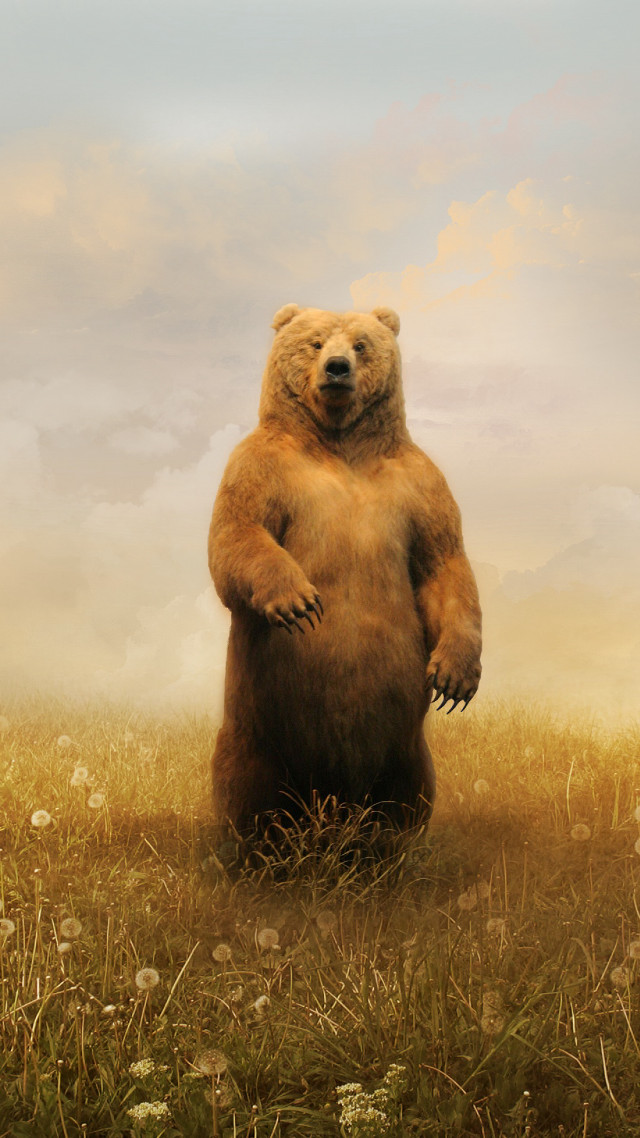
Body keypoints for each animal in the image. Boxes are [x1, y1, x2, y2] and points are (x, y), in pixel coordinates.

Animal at [208, 304, 482, 833]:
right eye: (314, 342)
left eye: (360, 344)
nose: (336, 368)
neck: (339, 441)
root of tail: (333, 800)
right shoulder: (261, 466)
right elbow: (237, 534)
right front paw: (299, 602)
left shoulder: (419, 484)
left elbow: (443, 563)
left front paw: (455, 678)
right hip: (257, 732)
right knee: (247, 790)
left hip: (404, 747)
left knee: (407, 796)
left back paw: (388, 844)